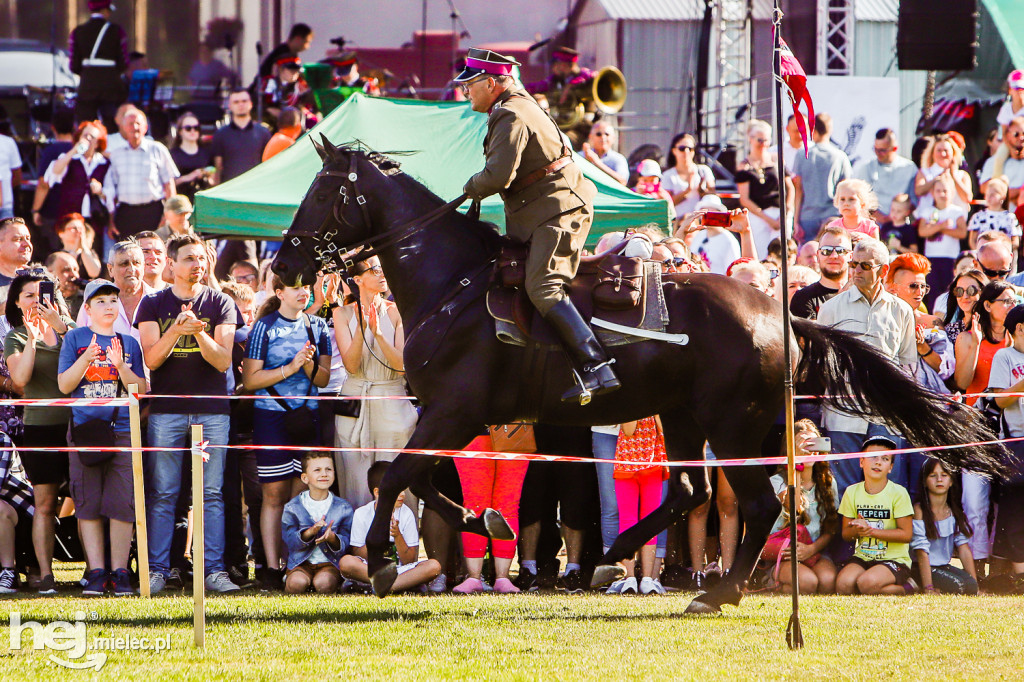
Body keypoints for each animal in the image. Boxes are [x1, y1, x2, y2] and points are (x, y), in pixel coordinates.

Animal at [272, 137, 1007, 610]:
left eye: (322, 191)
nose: (283, 264)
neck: (449, 283)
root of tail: (781, 317)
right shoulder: (455, 419)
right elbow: (417, 480)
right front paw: (490, 520)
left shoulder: (453, 412)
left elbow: (396, 476)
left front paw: (381, 561)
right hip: (684, 417)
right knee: (688, 491)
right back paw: (623, 552)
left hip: (728, 427)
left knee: (757, 503)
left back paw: (715, 589)